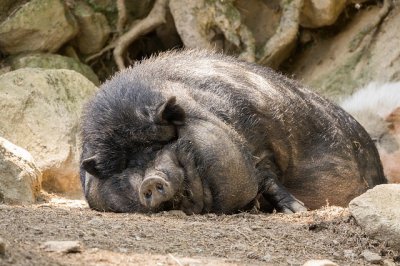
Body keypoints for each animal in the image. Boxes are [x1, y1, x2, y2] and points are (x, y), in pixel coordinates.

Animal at [79, 49, 388, 214]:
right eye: (123, 168)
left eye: (159, 145)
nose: (149, 181)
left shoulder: (259, 141)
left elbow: (267, 178)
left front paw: (297, 211)